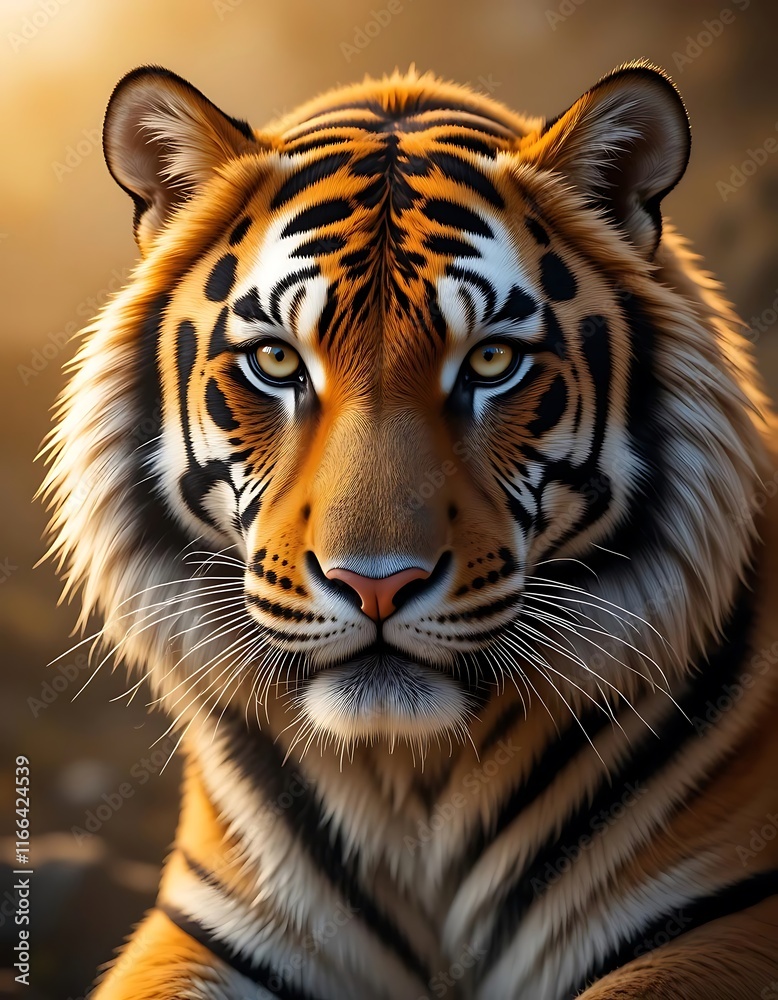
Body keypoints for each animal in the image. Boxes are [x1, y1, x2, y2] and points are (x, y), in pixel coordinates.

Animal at [40, 61, 778, 999]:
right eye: (276, 360)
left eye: (492, 362)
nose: (377, 584)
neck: (409, 778)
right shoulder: (206, 931)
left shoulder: (722, 920)